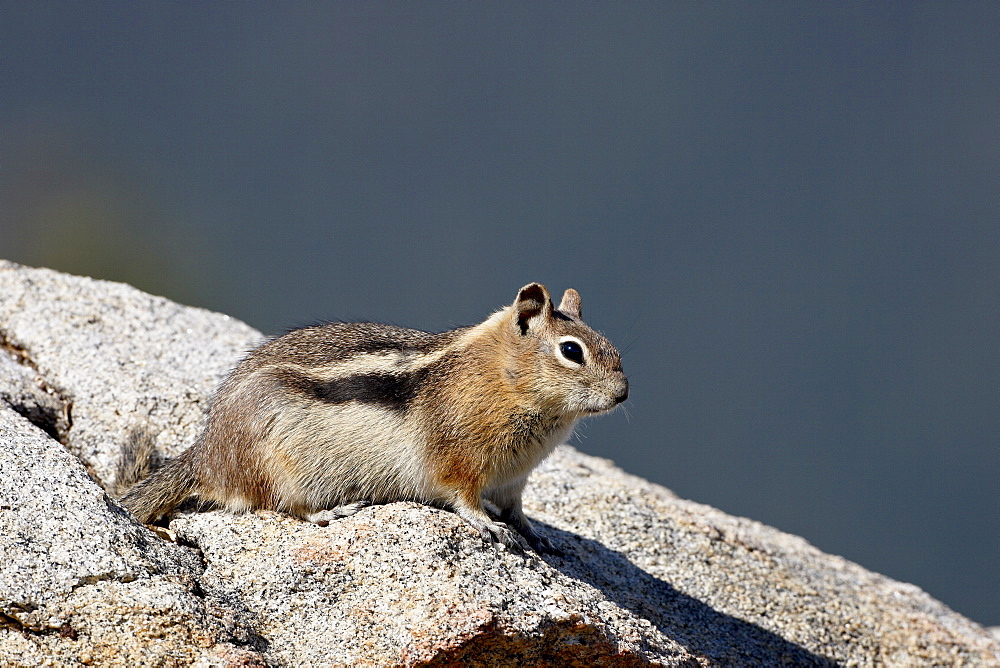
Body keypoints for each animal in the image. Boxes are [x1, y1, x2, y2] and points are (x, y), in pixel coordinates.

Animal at [121, 284, 628, 552]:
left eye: (611, 347)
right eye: (571, 351)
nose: (623, 393)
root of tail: (208, 454)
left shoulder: (514, 478)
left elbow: (517, 508)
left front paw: (534, 532)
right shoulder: (458, 459)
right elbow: (463, 497)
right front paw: (487, 524)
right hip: (279, 465)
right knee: (281, 504)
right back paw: (331, 511)